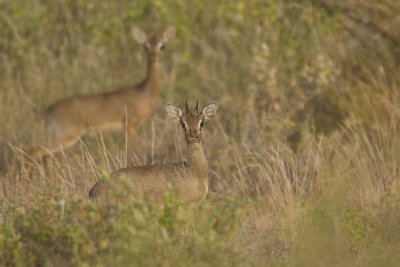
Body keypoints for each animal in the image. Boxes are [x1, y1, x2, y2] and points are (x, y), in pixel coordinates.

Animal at [25, 26, 175, 178]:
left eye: (162, 46)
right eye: (145, 46)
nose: (154, 58)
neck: (144, 92)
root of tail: (48, 111)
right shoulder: (130, 127)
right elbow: (134, 153)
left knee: (46, 158)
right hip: (67, 137)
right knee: (35, 151)